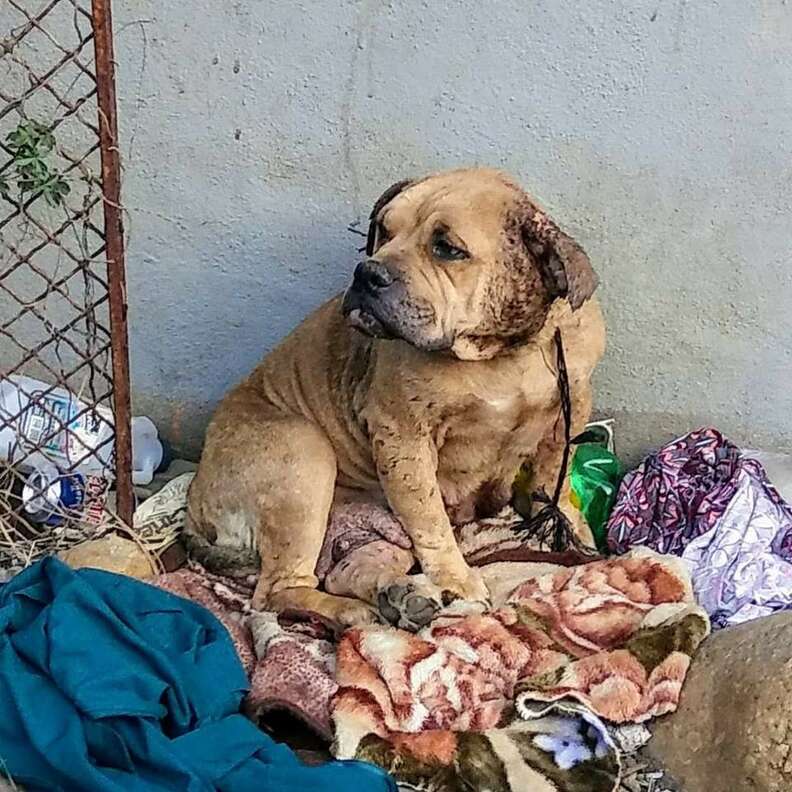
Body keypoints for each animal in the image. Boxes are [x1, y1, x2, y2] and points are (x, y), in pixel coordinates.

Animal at [187, 170, 608, 628]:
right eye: (384, 231)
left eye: (447, 248)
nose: (366, 272)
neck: (501, 352)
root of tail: (194, 501)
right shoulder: (404, 434)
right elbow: (429, 516)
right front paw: (456, 578)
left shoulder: (570, 408)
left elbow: (553, 477)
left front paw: (568, 527)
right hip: (303, 454)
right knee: (276, 592)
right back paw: (355, 612)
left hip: (367, 531)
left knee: (349, 570)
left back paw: (402, 599)